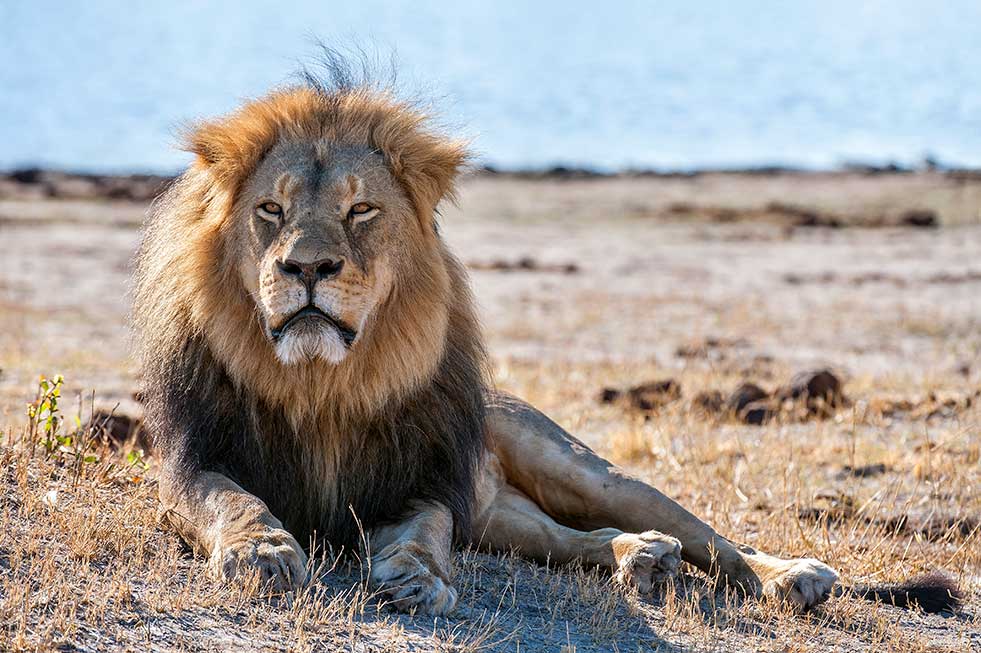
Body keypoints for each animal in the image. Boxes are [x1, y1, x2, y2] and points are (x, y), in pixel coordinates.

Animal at [134, 58, 956, 617]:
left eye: (360, 210)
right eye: (270, 210)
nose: (306, 266)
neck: (323, 381)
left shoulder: (428, 478)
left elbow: (426, 528)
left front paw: (416, 573)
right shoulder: (192, 460)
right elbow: (231, 501)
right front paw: (263, 551)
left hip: (584, 472)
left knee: (711, 538)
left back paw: (788, 574)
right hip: (503, 515)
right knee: (573, 540)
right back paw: (640, 561)